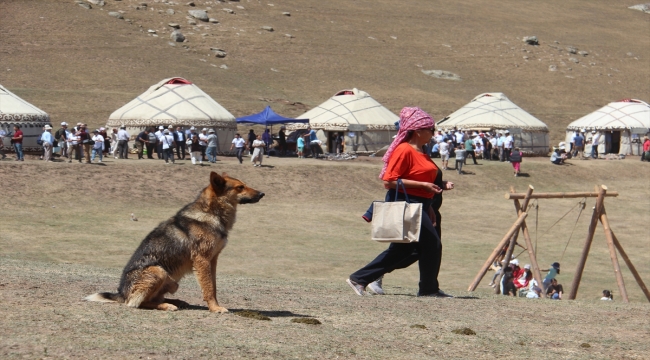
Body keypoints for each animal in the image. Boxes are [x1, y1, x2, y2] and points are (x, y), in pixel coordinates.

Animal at [85, 172, 264, 312]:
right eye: (240, 187)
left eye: (244, 185)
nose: (262, 193)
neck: (212, 213)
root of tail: (121, 293)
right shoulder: (202, 260)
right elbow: (208, 289)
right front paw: (215, 308)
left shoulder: (212, 260)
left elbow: (213, 287)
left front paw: (215, 305)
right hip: (158, 271)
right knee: (138, 303)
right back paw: (167, 306)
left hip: (172, 283)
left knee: (153, 299)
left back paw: (175, 302)